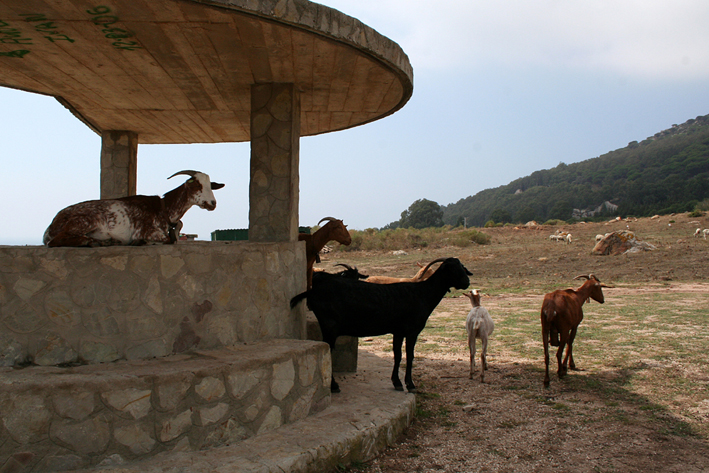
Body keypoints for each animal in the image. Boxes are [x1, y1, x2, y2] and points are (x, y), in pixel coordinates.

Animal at [42, 170, 223, 247]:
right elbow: (168, 239)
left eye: (211, 186)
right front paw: (140, 241)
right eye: (197, 185)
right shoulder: (146, 230)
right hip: (85, 221)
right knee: (55, 241)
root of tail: (51, 225)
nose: (212, 203)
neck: (164, 209)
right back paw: (91, 242)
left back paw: (106, 241)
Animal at [288, 256, 470, 392]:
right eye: (452, 269)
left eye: (462, 267)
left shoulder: (398, 331)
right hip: (330, 326)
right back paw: (334, 386)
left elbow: (398, 355)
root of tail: (312, 291)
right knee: (328, 353)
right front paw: (410, 384)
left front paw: (397, 382)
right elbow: (410, 355)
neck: (422, 293)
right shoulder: (412, 330)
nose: (467, 282)